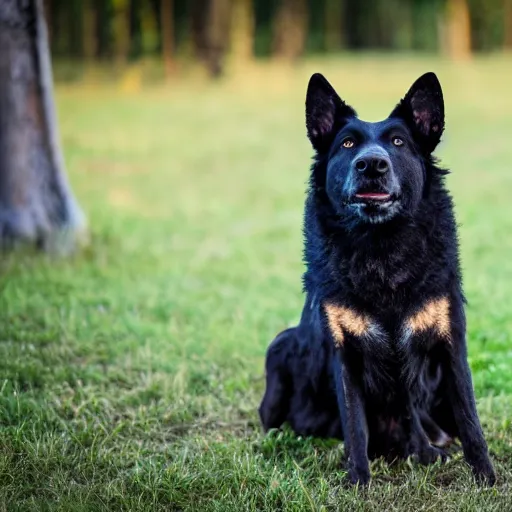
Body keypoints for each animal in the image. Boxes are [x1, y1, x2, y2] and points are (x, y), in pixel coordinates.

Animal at [260, 71, 496, 484]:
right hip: (280, 347)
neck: (381, 247)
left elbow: (470, 421)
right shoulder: (344, 352)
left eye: (398, 142)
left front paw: (485, 477)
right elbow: (355, 426)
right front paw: (358, 481)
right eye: (347, 143)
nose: (371, 164)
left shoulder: (451, 343)